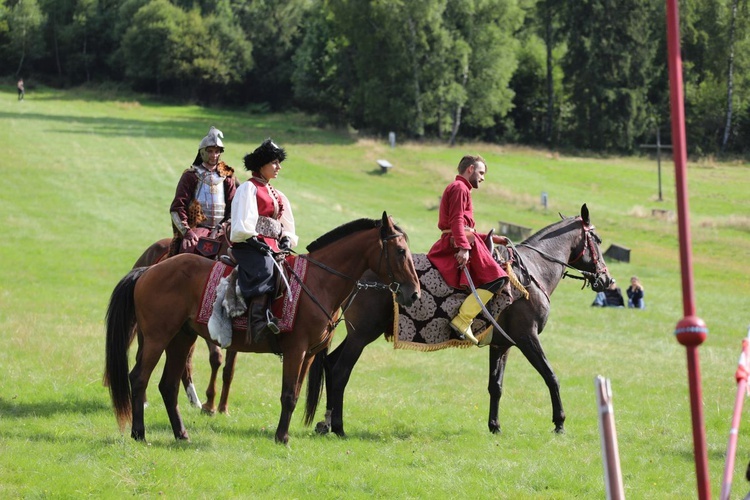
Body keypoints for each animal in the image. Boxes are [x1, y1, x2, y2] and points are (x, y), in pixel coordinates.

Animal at [104, 213, 424, 444]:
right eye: (400, 251)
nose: (414, 294)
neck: (318, 281)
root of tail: (149, 270)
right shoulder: (296, 350)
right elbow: (289, 395)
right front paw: (282, 437)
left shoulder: (309, 355)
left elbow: (296, 391)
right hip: (157, 338)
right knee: (139, 378)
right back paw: (139, 433)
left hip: (181, 338)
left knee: (168, 385)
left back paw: (181, 434)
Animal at [306, 203, 616, 438]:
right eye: (598, 241)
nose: (607, 280)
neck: (532, 271)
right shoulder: (527, 338)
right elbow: (551, 376)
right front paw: (560, 422)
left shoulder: (501, 345)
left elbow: (496, 386)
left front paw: (494, 426)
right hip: (361, 335)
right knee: (340, 371)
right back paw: (339, 427)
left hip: (357, 334)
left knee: (330, 364)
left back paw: (326, 423)